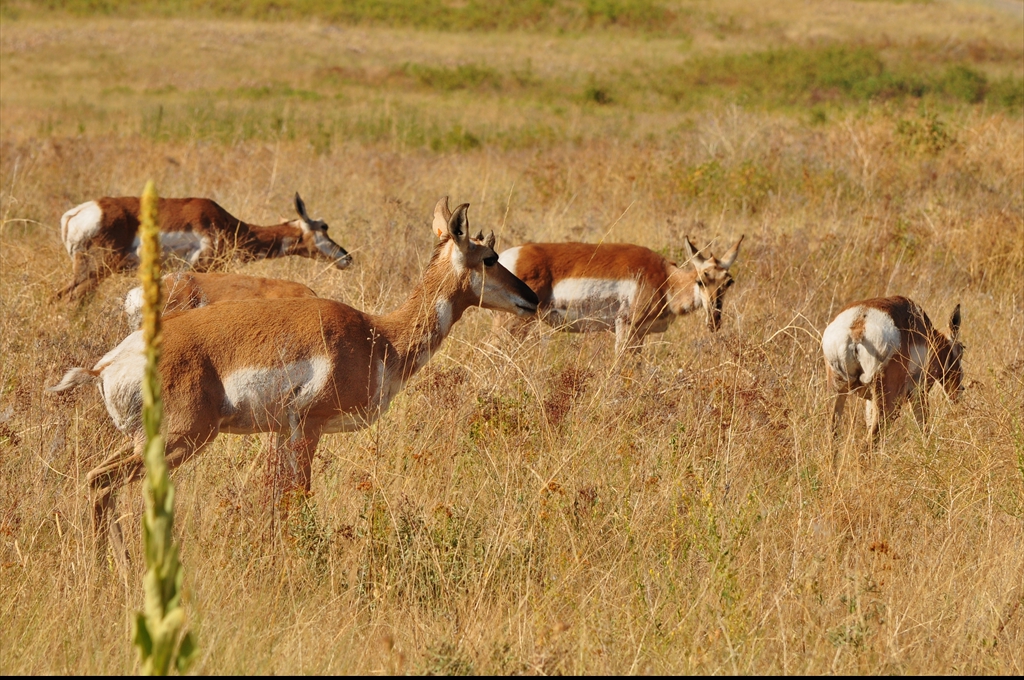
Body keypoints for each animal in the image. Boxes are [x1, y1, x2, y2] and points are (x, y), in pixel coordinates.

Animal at [495, 233, 745, 352]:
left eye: (729, 282)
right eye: (701, 281)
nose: (714, 321)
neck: (665, 277)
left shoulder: (640, 334)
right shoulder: (625, 326)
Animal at [819, 294, 962, 444]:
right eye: (962, 348)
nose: (958, 391)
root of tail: (859, 326)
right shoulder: (919, 393)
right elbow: (924, 427)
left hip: (837, 392)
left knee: (832, 433)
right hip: (887, 403)